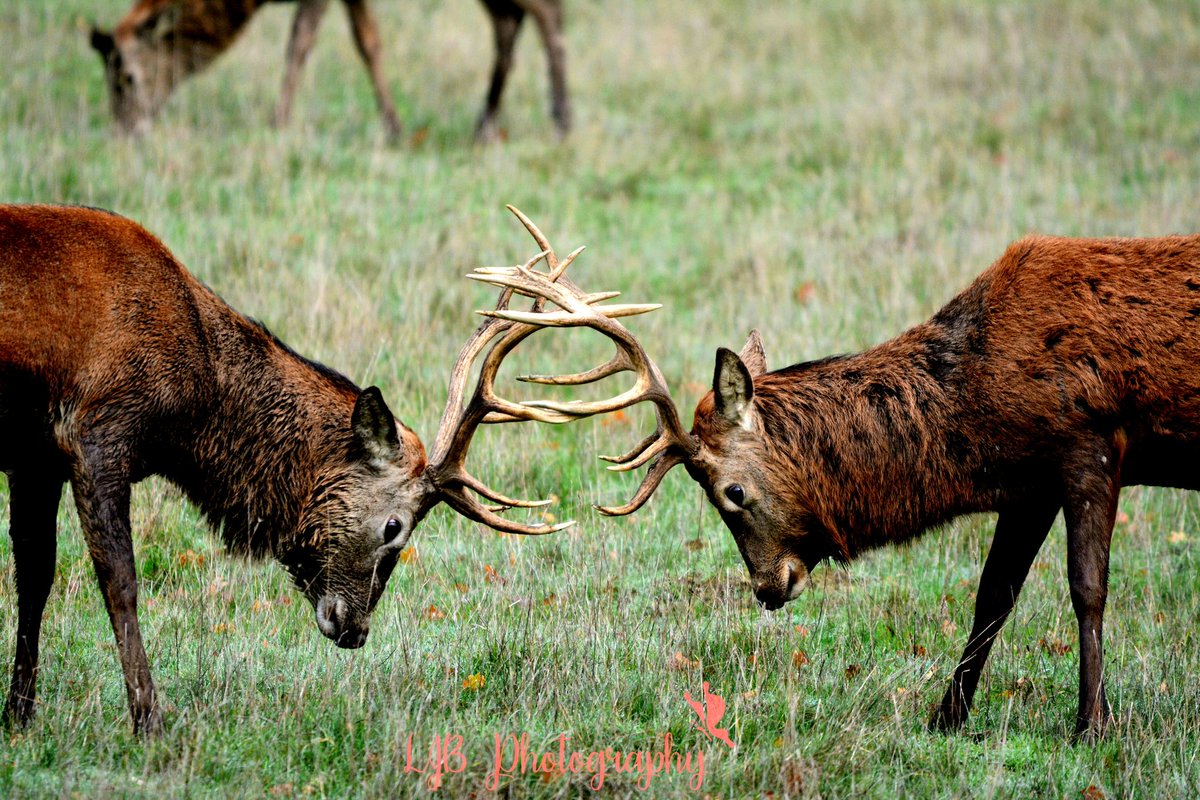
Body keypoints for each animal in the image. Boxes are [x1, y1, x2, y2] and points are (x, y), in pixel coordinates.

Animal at [0, 203, 601, 734]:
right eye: (395, 527)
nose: (355, 629)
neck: (191, 412)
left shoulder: (37, 457)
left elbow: (35, 575)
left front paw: (19, 717)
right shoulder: (96, 433)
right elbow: (119, 581)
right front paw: (149, 722)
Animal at [89, 0, 571, 141]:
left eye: (126, 78)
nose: (125, 131)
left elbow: (311, 42)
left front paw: (279, 120)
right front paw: (394, 125)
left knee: (547, 16)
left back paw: (561, 119)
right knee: (509, 24)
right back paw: (485, 123)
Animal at [469, 226, 1200, 741]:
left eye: (731, 494)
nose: (768, 586)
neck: (981, 408)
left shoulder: (1091, 444)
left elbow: (1087, 589)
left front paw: (1092, 724)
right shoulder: (1031, 483)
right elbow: (993, 597)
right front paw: (945, 718)